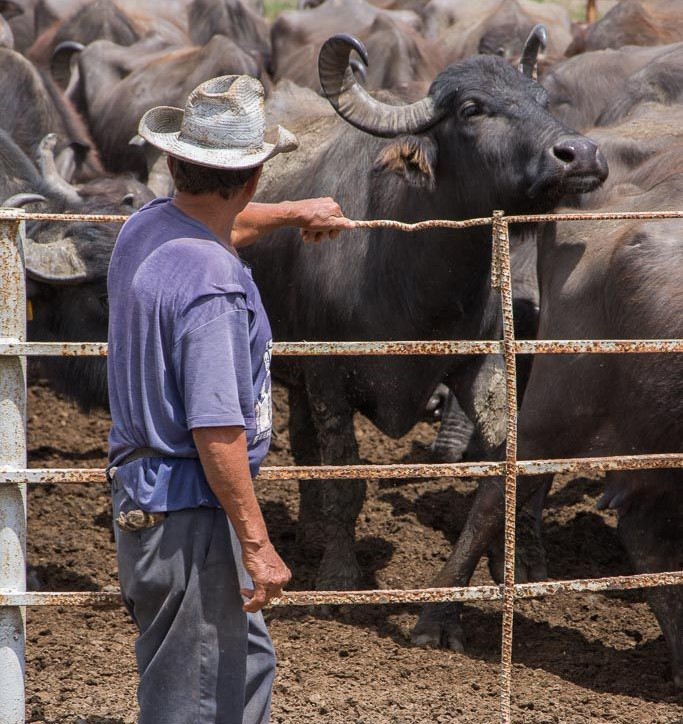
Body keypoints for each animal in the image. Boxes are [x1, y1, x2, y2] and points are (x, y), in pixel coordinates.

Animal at [242, 29, 608, 592]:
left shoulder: (480, 364)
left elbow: (505, 461)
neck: (413, 280)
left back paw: (308, 532)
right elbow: (344, 477)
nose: (581, 154)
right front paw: (339, 574)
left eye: (542, 99)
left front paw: (516, 562)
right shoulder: (327, 376)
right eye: (472, 109)